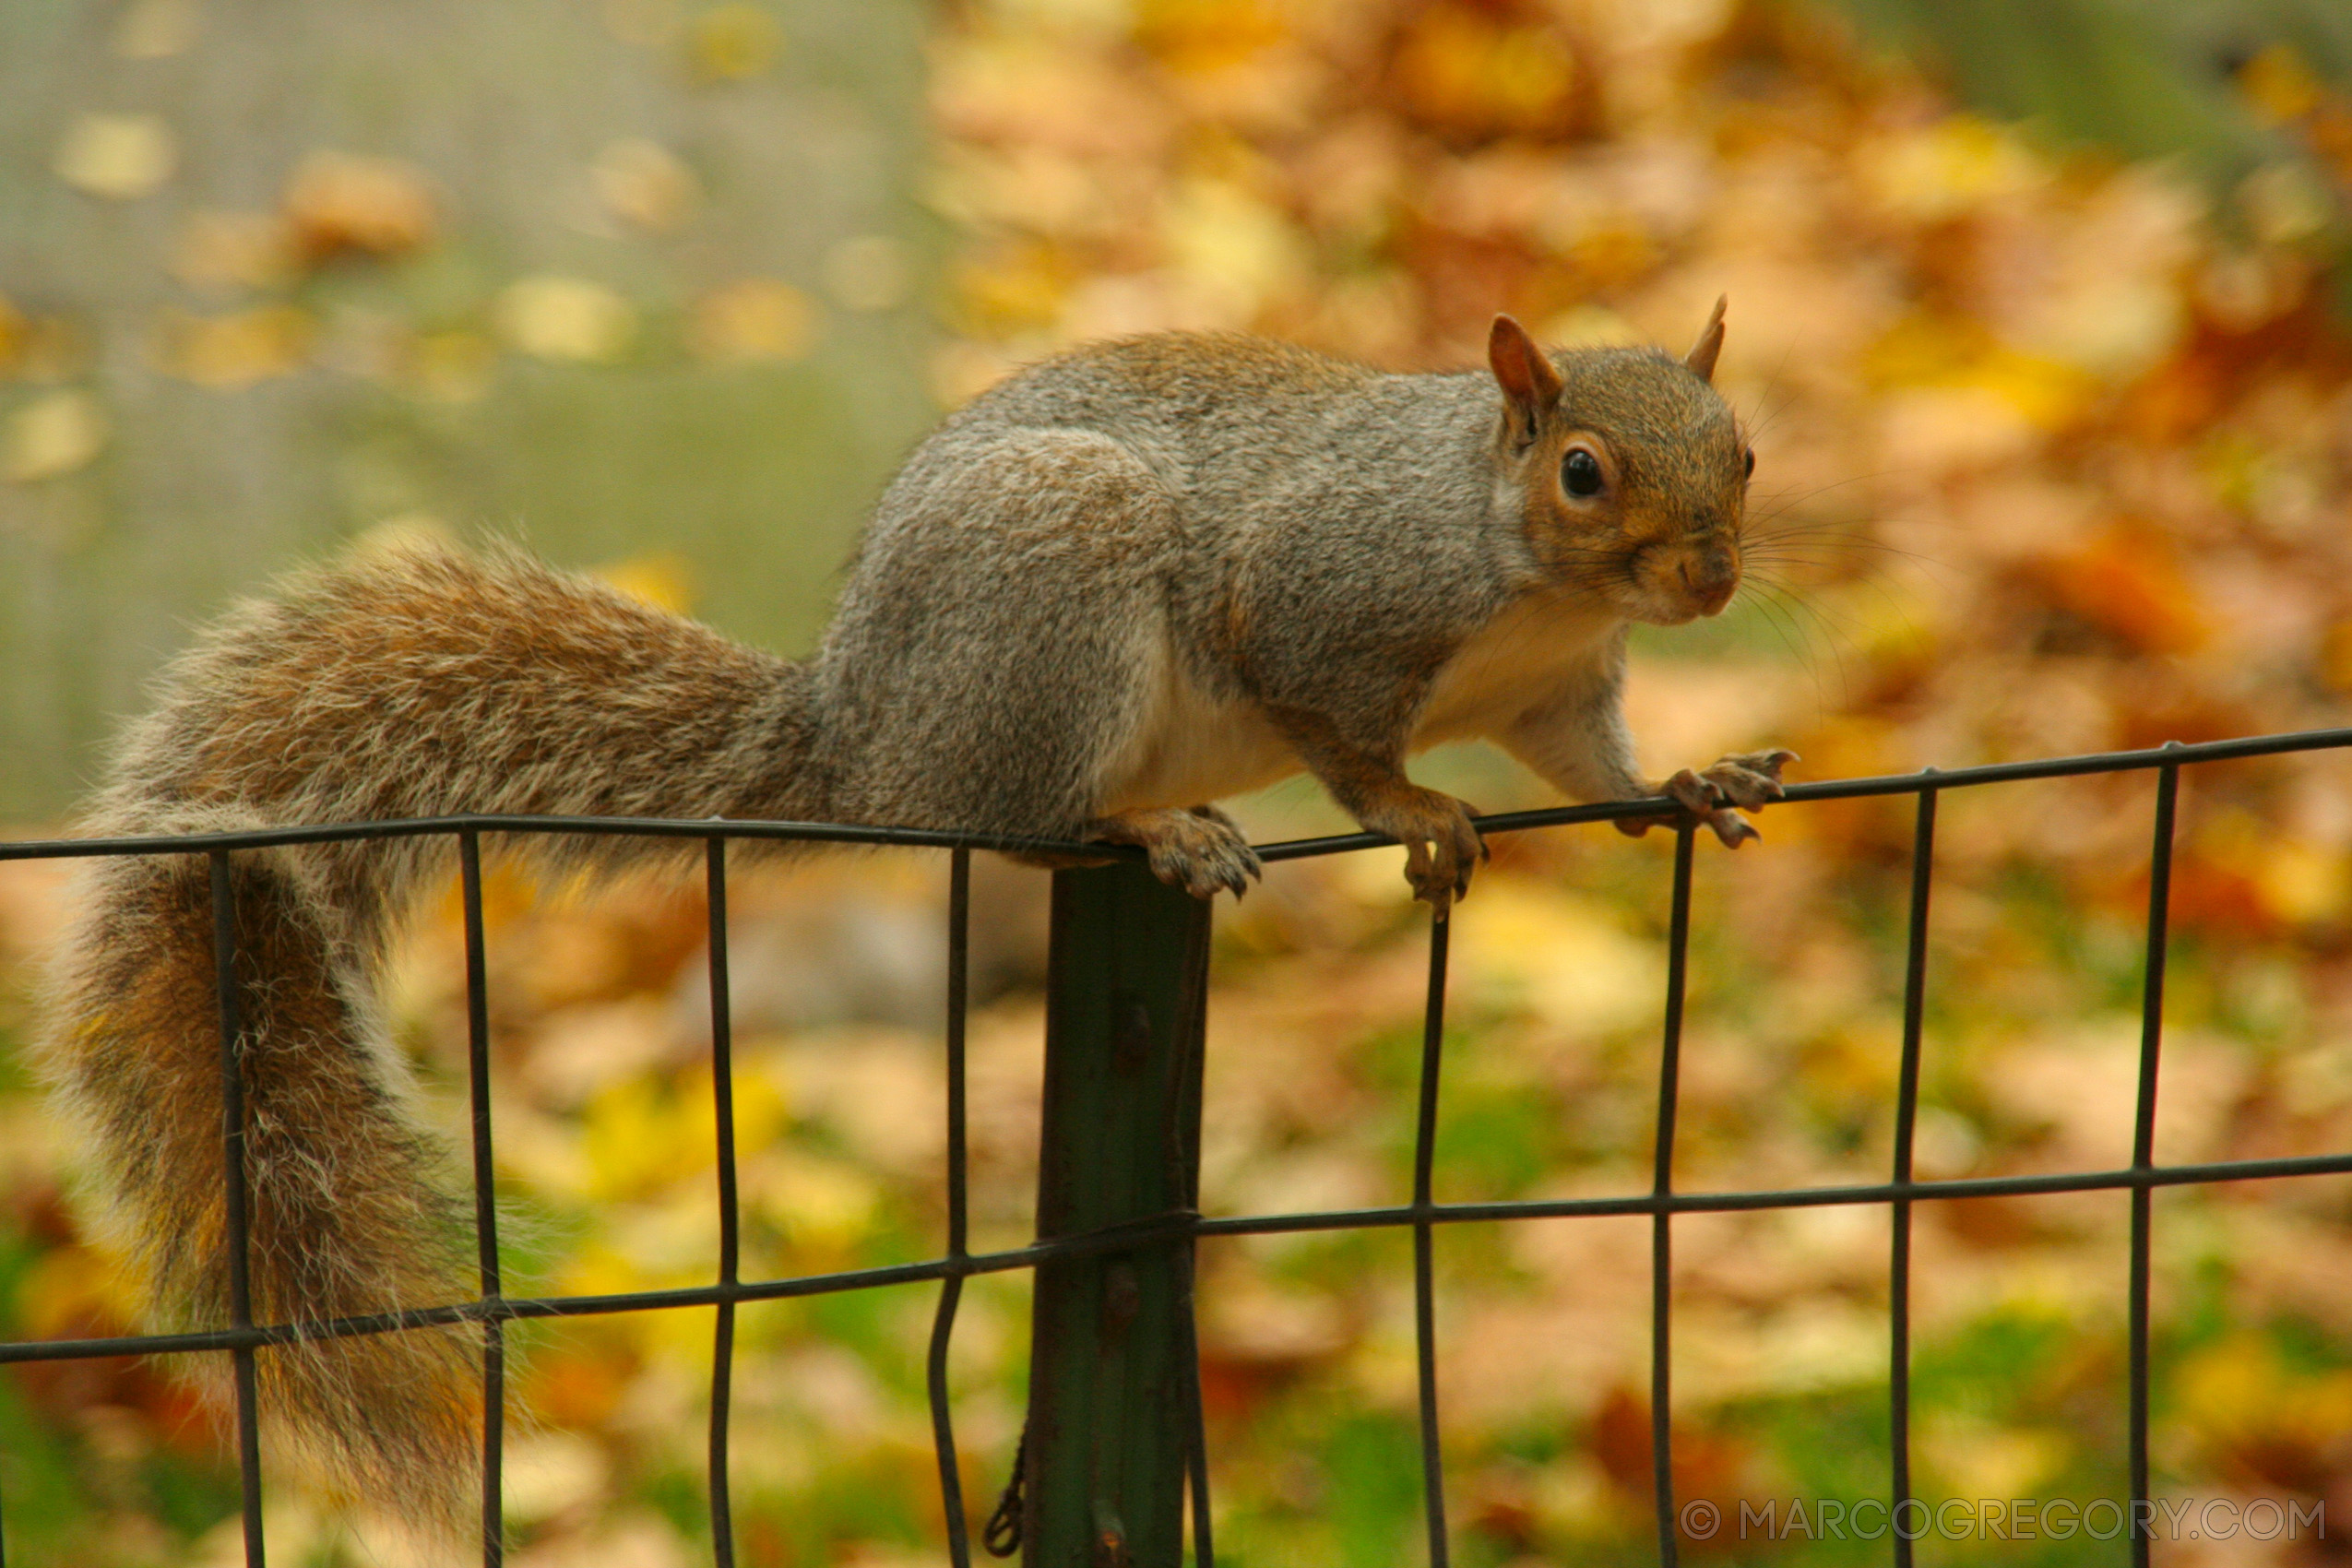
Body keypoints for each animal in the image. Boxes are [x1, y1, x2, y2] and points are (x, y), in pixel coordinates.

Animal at [36, 303, 1788, 1532]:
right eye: (1582, 472)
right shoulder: (1324, 609)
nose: (1708, 582)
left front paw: (1681, 783)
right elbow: (1342, 738)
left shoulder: (1554, 694)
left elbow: (1594, 764)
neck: (1520, 571)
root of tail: (866, 734)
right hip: (1055, 600)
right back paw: (1151, 825)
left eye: (1747, 452)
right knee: (1015, 819)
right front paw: (1418, 817)